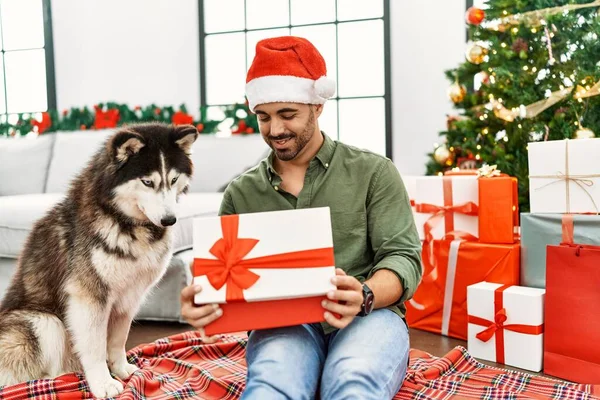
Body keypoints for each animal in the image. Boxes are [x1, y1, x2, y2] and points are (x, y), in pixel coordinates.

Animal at [0, 122, 200, 396]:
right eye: (147, 182)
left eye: (173, 179)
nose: (170, 220)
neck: (128, 224)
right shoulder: (89, 297)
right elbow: (94, 346)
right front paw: (102, 383)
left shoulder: (130, 295)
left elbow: (118, 339)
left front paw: (121, 369)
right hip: (44, 322)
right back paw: (57, 380)